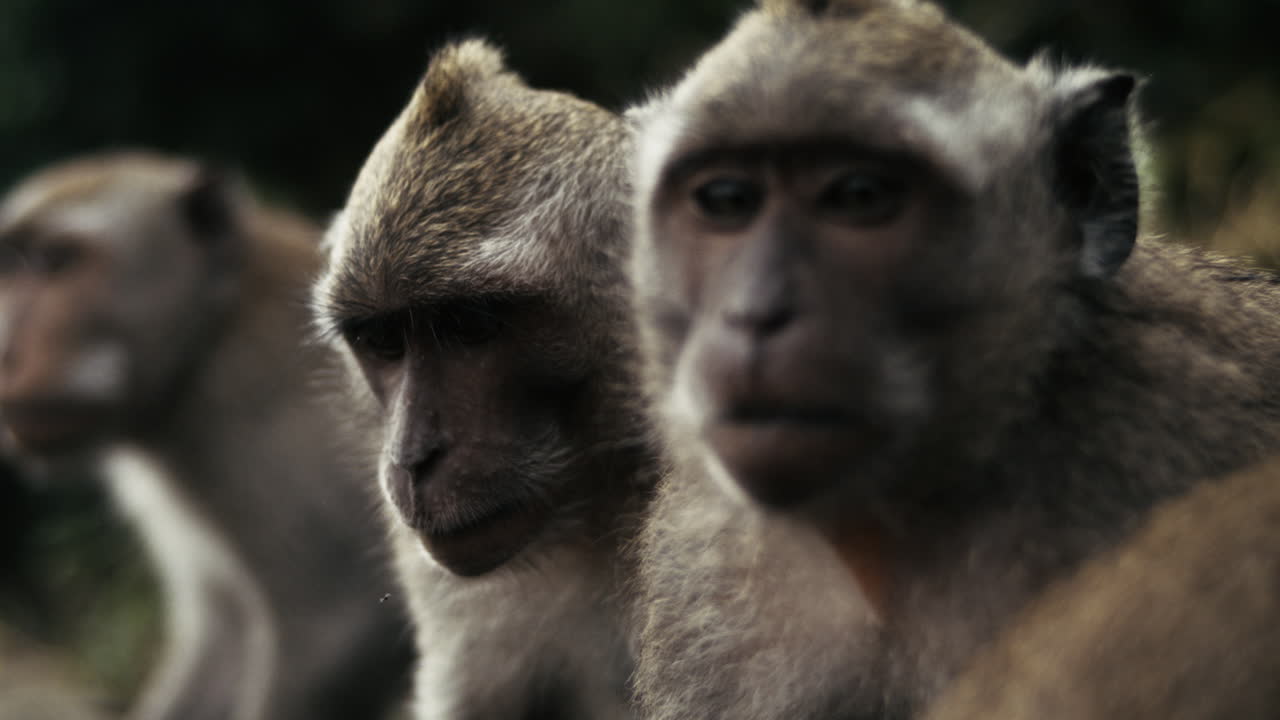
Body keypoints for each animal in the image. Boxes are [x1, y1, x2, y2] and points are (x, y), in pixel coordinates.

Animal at [0, 152, 414, 720]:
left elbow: (342, 622)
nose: (5, 351)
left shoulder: (262, 436)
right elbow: (222, 638)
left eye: (56, 262)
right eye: (13, 263)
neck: (206, 341)